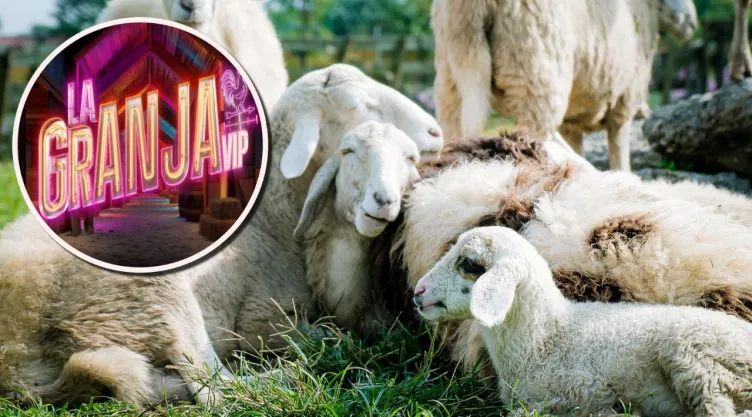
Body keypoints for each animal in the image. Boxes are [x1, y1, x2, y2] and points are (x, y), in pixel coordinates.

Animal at [431, 0, 698, 171]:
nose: (693, 22)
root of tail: (472, 8)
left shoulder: (574, 118)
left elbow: (578, 148)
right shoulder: (625, 96)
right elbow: (619, 147)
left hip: (452, 70)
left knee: (453, 126)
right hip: (536, 69)